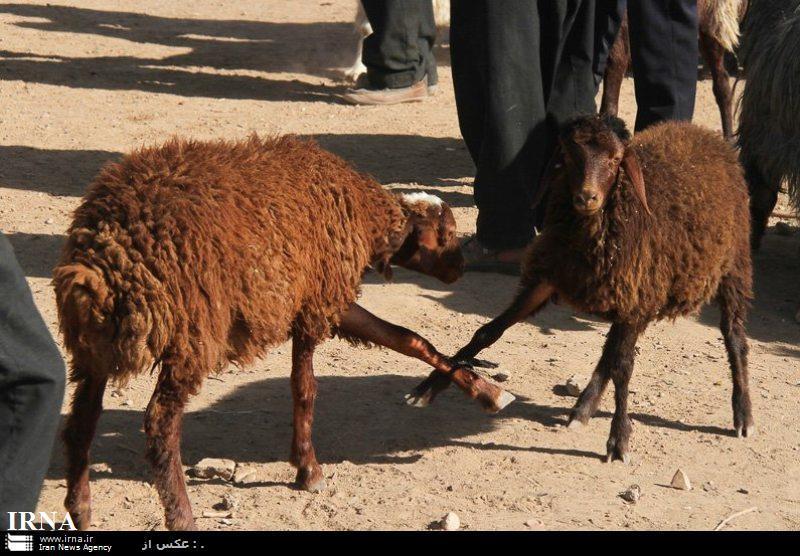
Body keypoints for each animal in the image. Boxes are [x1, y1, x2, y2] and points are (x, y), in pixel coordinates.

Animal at [54, 135, 512, 528]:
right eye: (446, 233)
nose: (461, 268)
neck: (362, 213)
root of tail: (97, 265)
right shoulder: (316, 304)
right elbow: (305, 388)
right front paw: (308, 469)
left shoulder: (324, 301)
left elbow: (409, 339)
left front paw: (485, 392)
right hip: (190, 336)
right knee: (160, 426)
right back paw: (181, 516)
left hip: (95, 347)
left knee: (81, 423)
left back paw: (80, 511)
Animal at [410, 115, 752, 462]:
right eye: (570, 156)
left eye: (615, 160)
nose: (587, 198)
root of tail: (704, 133)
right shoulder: (549, 279)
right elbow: (488, 331)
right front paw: (431, 385)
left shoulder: (635, 302)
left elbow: (624, 368)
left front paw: (619, 439)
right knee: (609, 353)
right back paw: (583, 408)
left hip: (734, 266)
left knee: (734, 337)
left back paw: (743, 415)